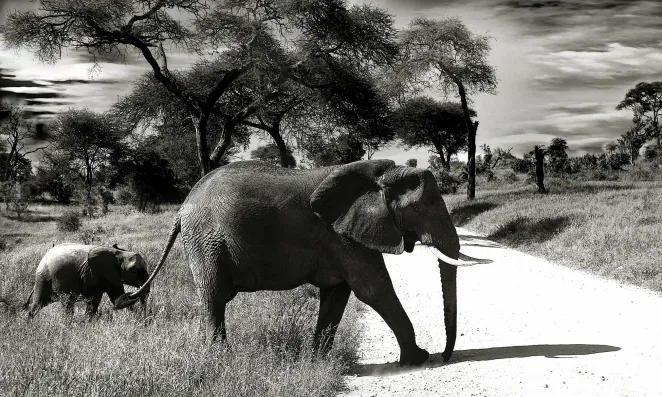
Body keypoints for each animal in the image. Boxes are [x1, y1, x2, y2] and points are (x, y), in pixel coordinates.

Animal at [118, 159, 488, 364]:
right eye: (419, 209)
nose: (445, 355)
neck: (380, 175)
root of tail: (182, 208)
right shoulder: (341, 234)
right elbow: (373, 289)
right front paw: (418, 359)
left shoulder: (341, 235)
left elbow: (338, 294)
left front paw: (317, 362)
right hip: (205, 242)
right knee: (214, 298)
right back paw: (221, 358)